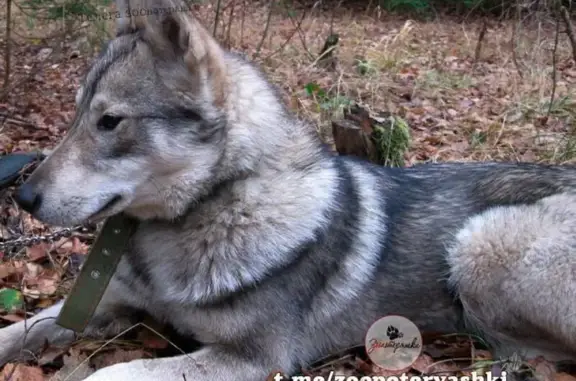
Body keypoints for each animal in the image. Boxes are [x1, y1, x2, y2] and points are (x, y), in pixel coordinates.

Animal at [1, 1, 576, 378]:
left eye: (110, 121)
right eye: (77, 114)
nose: (22, 198)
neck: (212, 208)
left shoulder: (253, 358)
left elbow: (110, 373)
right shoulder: (102, 303)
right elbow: (17, 331)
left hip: (480, 243)